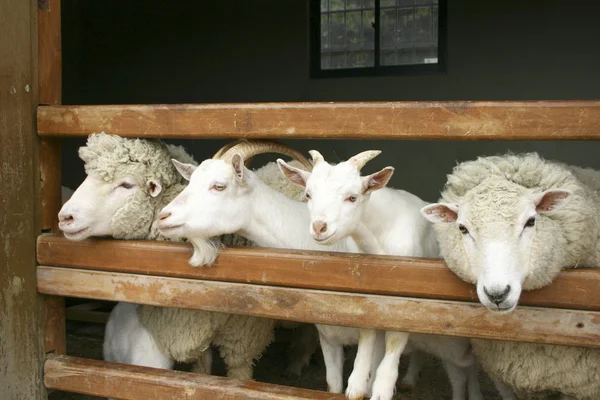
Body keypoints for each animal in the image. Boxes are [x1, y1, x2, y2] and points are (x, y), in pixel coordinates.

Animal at [58, 133, 316, 380]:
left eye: (126, 184)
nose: (64, 217)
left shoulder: (243, 336)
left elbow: (238, 377)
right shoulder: (193, 328)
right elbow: (201, 370)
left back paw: (296, 363)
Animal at [276, 149, 482, 400]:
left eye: (352, 197)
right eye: (308, 194)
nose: (319, 227)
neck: (378, 241)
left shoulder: (406, 299)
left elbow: (394, 343)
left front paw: (382, 388)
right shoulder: (367, 294)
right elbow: (366, 332)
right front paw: (356, 385)